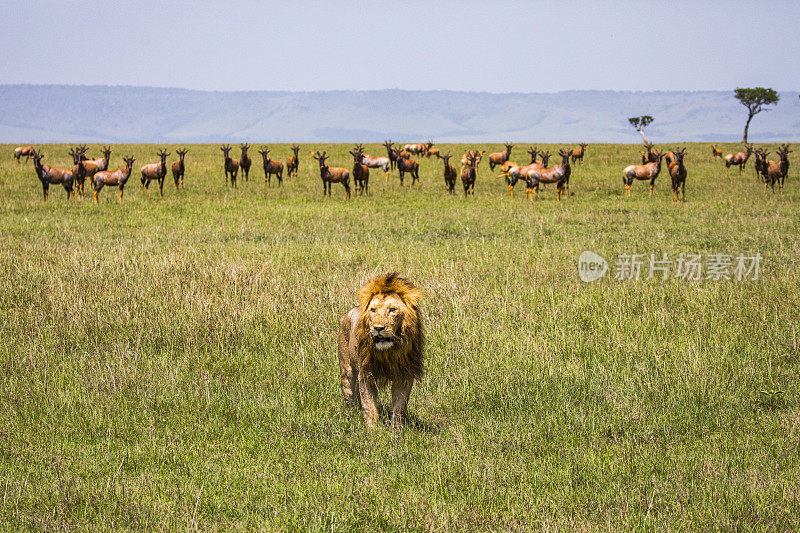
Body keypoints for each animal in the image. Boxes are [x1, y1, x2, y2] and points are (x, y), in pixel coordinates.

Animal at [338, 272, 424, 426]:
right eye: (373, 310)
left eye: (392, 310)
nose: (378, 328)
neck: (389, 351)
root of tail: (347, 313)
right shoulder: (366, 373)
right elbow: (369, 406)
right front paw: (373, 429)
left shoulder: (404, 374)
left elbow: (400, 407)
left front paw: (396, 429)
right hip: (347, 369)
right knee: (349, 394)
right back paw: (351, 417)